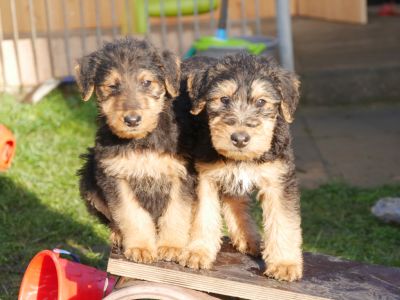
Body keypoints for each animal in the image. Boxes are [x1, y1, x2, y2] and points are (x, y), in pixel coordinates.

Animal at [76, 38, 195, 264]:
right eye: (112, 86)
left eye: (147, 83)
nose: (132, 120)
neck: (142, 140)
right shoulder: (114, 175)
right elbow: (131, 214)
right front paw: (140, 248)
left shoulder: (183, 174)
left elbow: (177, 212)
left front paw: (171, 246)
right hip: (88, 177)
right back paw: (117, 234)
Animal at [179, 53, 304, 282]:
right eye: (224, 99)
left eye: (261, 101)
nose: (239, 138)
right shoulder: (204, 177)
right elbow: (203, 215)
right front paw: (198, 252)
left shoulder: (279, 181)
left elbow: (283, 221)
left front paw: (284, 264)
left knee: (236, 202)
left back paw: (249, 239)